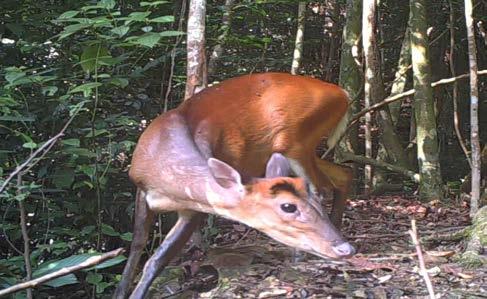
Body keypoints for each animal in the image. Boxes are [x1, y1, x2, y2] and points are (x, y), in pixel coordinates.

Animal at [116, 73, 356, 299]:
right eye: (288, 206)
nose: (345, 249)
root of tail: (343, 94)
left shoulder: (194, 210)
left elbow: (157, 260)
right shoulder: (140, 188)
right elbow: (137, 244)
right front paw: (120, 291)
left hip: (297, 142)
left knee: (321, 187)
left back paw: (301, 255)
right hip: (299, 147)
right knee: (343, 174)